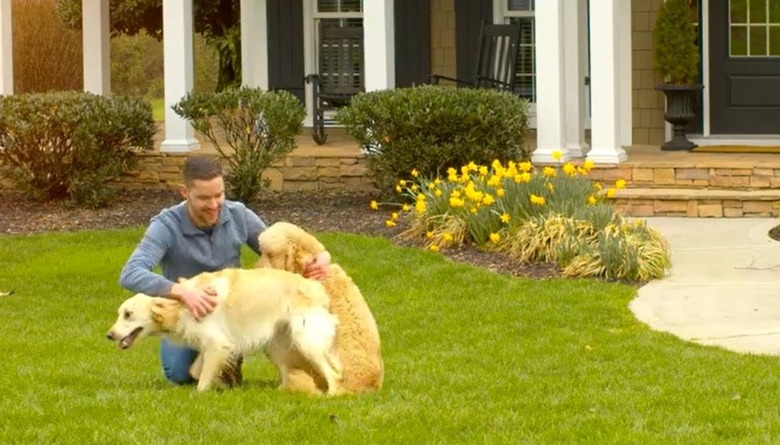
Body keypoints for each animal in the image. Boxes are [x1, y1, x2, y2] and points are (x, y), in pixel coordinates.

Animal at [106, 266, 342, 390]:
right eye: (120, 313)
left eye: (128, 314)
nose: (109, 335)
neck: (182, 305)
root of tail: (317, 287)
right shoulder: (211, 346)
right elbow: (195, 370)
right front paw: (223, 381)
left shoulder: (217, 344)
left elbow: (201, 381)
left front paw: (201, 393)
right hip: (279, 346)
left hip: (306, 341)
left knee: (333, 373)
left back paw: (332, 395)